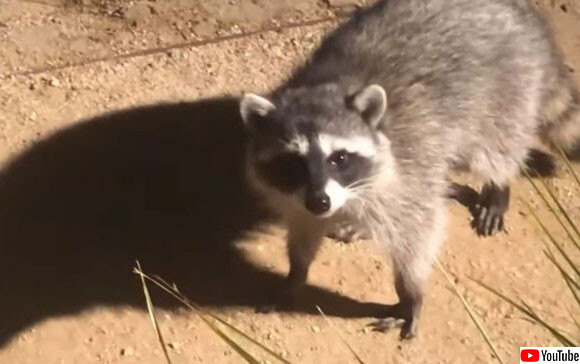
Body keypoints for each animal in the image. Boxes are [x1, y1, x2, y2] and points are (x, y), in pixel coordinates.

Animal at [237, 0, 580, 338]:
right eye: (293, 162)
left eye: (340, 158)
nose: (321, 202)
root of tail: (524, 17)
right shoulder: (296, 194)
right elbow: (303, 227)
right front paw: (296, 271)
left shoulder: (408, 166)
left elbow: (417, 232)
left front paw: (409, 292)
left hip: (505, 91)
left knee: (495, 146)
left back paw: (498, 185)